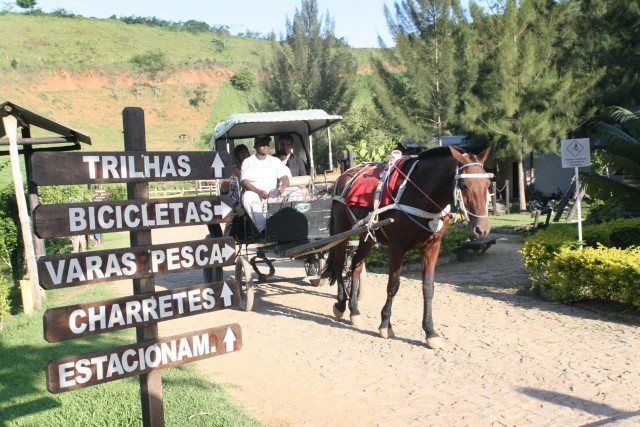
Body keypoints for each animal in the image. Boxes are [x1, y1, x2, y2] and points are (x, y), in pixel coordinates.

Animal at [318, 145, 490, 350]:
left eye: (488, 184)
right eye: (463, 186)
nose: (481, 229)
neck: (420, 193)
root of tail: (344, 175)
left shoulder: (433, 246)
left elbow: (428, 288)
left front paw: (430, 331)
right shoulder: (397, 246)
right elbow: (393, 285)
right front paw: (385, 324)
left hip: (367, 236)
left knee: (355, 267)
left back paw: (354, 311)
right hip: (342, 230)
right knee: (338, 264)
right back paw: (341, 304)